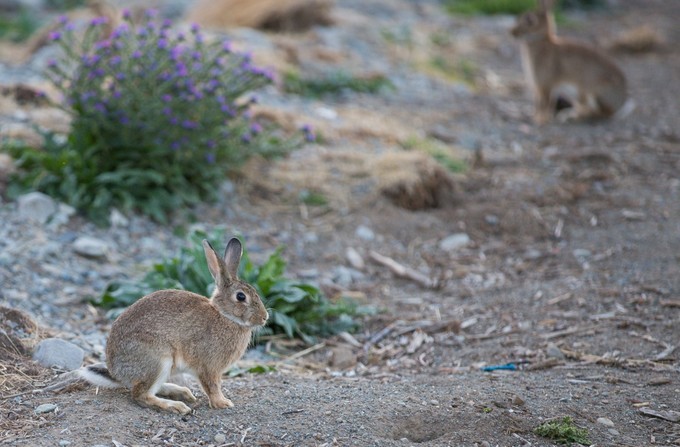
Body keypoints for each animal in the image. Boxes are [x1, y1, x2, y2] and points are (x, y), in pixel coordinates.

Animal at [79, 238, 268, 416]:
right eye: (241, 297)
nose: (265, 317)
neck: (224, 315)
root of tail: (116, 372)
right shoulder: (209, 366)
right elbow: (212, 386)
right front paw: (222, 403)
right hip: (158, 359)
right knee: (140, 395)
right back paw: (176, 406)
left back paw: (182, 393)